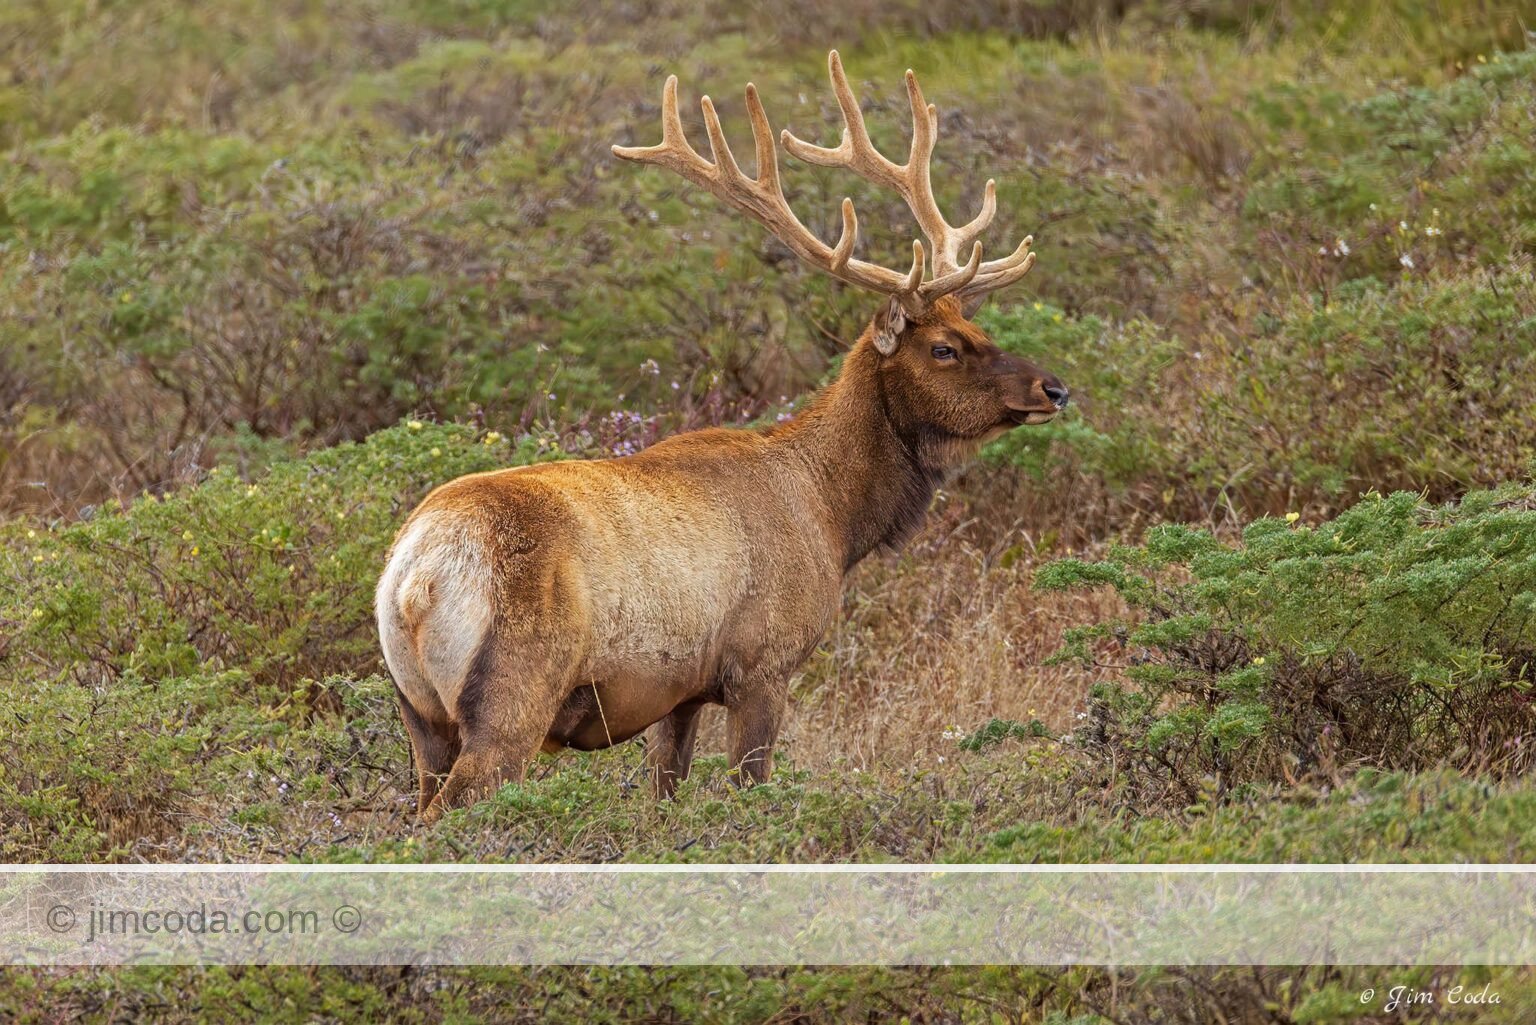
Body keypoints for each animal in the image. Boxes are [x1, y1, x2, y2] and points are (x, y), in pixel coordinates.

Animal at [376, 50, 1068, 823]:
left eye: (980, 328)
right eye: (945, 347)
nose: (1053, 388)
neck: (833, 518)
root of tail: (417, 579)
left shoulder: (675, 692)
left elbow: (665, 791)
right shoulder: (763, 662)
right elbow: (750, 783)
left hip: (418, 710)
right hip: (514, 691)